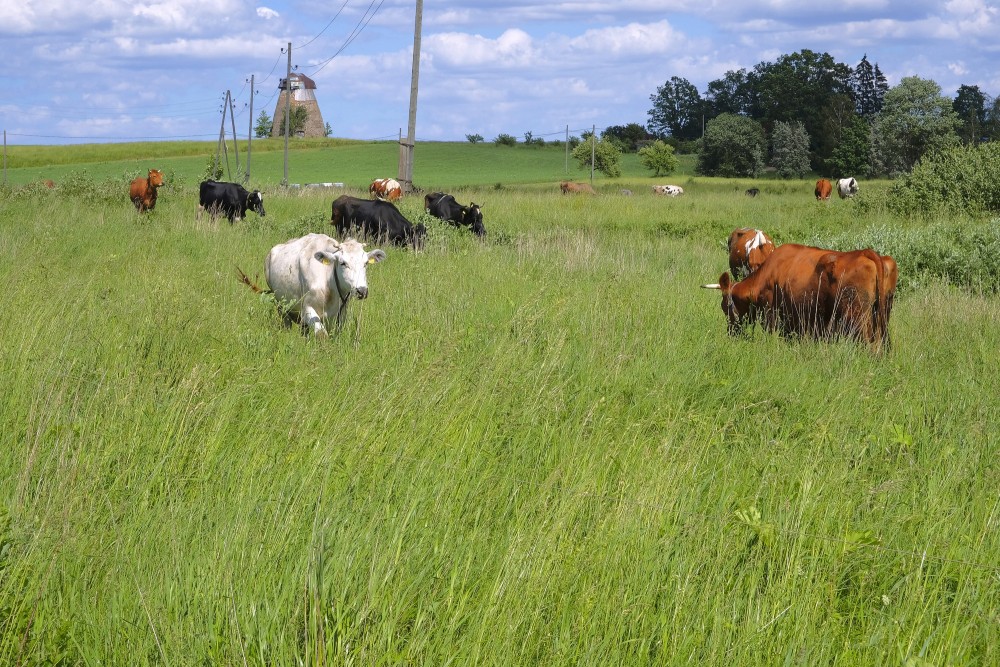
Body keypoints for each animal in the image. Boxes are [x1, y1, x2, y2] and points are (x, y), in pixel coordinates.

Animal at [238, 233, 386, 336]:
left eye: (365, 263)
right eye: (343, 263)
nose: (362, 290)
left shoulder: (341, 314)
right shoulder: (308, 310)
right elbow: (322, 334)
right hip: (281, 305)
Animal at [701, 243, 895, 352]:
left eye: (724, 307)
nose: (731, 332)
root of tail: (866, 252)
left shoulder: (772, 313)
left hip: (858, 316)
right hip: (883, 313)